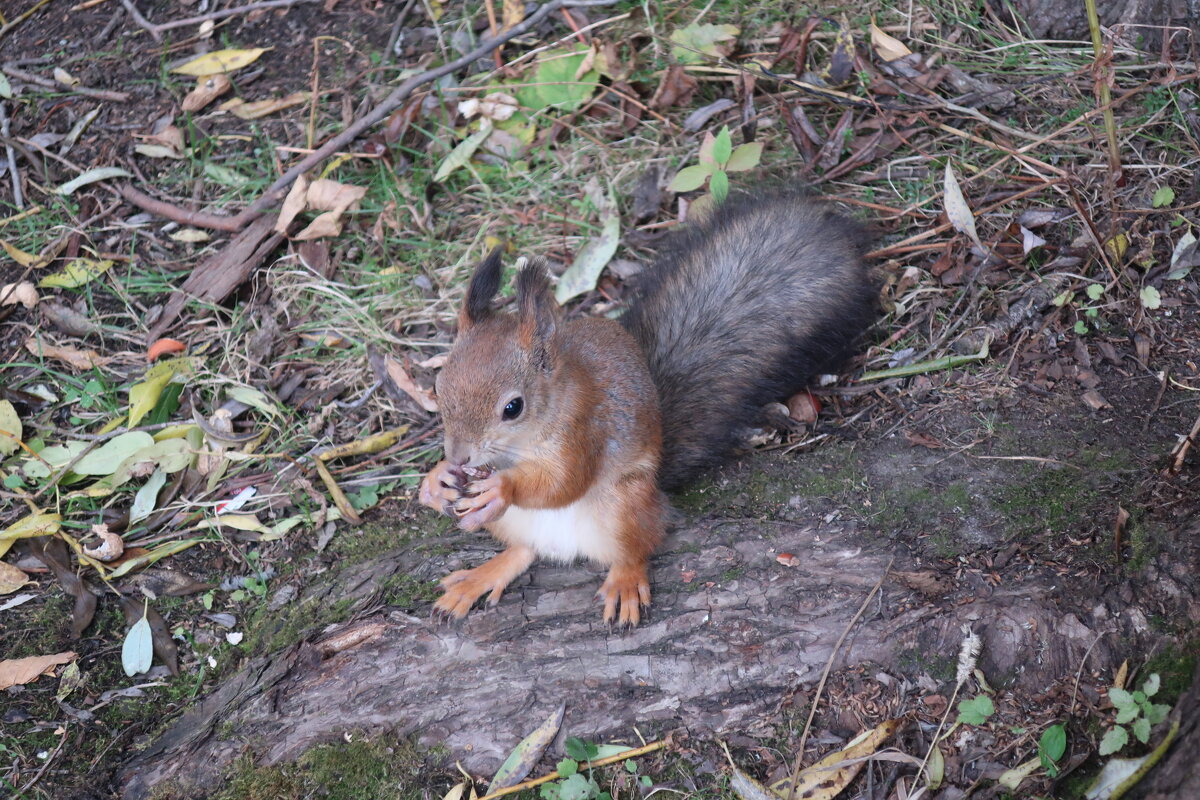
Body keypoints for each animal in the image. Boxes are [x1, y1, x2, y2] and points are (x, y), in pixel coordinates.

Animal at [417, 191, 878, 623]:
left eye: (513, 407)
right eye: (438, 387)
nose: (459, 457)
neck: (519, 446)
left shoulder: (584, 430)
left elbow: (563, 482)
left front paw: (501, 487)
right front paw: (435, 481)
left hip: (624, 504)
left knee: (636, 548)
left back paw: (625, 580)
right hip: (512, 522)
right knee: (525, 550)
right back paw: (480, 576)